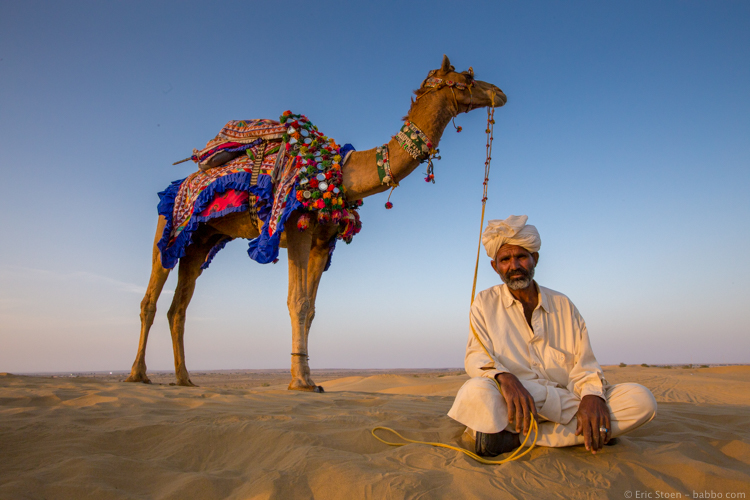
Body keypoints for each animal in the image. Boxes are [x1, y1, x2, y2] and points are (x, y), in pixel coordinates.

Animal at [125, 55, 507, 391]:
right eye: (467, 79)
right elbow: (297, 301)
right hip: (168, 227)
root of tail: (179, 184)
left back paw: (184, 378)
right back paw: (137, 375)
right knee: (150, 300)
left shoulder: (324, 240)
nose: (500, 92)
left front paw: (308, 377)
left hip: (199, 241)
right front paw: (300, 382)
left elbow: (310, 308)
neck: (340, 175)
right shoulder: (297, 226)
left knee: (178, 309)